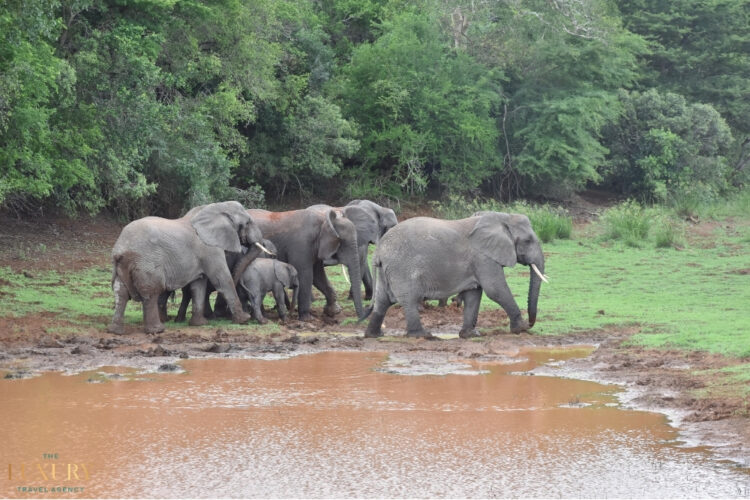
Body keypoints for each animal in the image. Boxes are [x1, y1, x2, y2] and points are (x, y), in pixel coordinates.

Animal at [108, 201, 267, 334]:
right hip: (146, 263)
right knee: (151, 292)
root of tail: (121, 247)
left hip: (123, 264)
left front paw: (200, 324)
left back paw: (116, 331)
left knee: (121, 292)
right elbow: (222, 280)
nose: (248, 311)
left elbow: (198, 285)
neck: (216, 207)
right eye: (247, 222)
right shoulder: (210, 249)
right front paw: (244, 319)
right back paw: (157, 330)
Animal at [362, 211, 548, 339]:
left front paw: (470, 335)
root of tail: (378, 251)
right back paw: (423, 335)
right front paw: (521, 329)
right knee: (409, 300)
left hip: (386, 269)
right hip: (401, 268)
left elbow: (474, 293)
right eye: (528, 241)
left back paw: (374, 335)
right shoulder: (483, 257)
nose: (531, 323)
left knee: (382, 302)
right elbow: (495, 290)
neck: (504, 217)